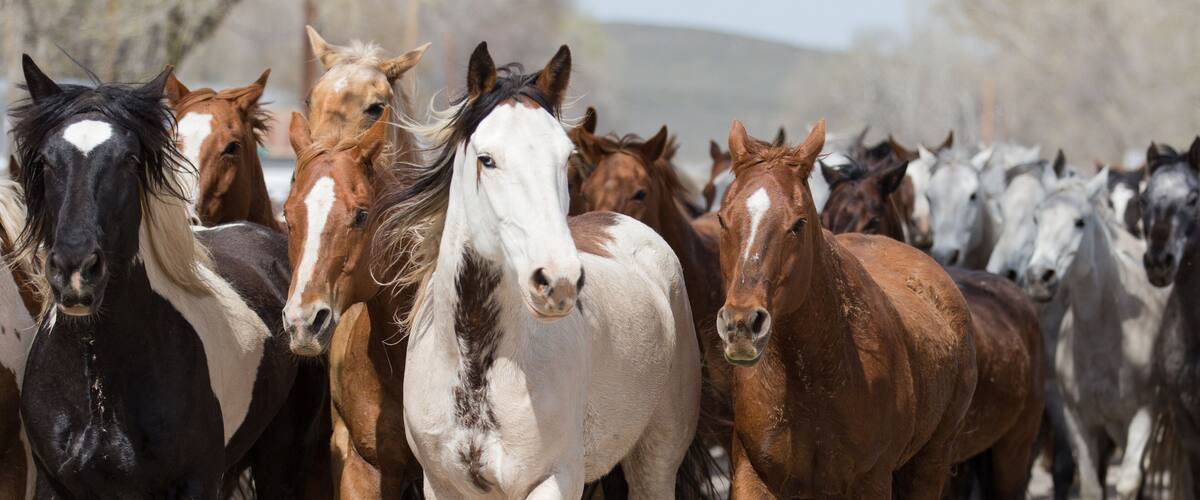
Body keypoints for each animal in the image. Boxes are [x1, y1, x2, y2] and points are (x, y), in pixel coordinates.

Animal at [372, 42, 706, 498]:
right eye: (487, 159)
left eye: (565, 158)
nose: (558, 281)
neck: (478, 366)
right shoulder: (442, 485)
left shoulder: (553, 479)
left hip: (655, 459)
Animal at [715, 119, 976, 498]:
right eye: (722, 219)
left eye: (799, 223)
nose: (742, 325)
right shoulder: (754, 475)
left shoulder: (871, 481)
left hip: (931, 461)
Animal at [1023, 167, 1171, 500]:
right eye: (1036, 218)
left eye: (1079, 221)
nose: (1039, 277)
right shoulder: (1080, 421)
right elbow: (1091, 486)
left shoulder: (1144, 414)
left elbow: (1129, 483)